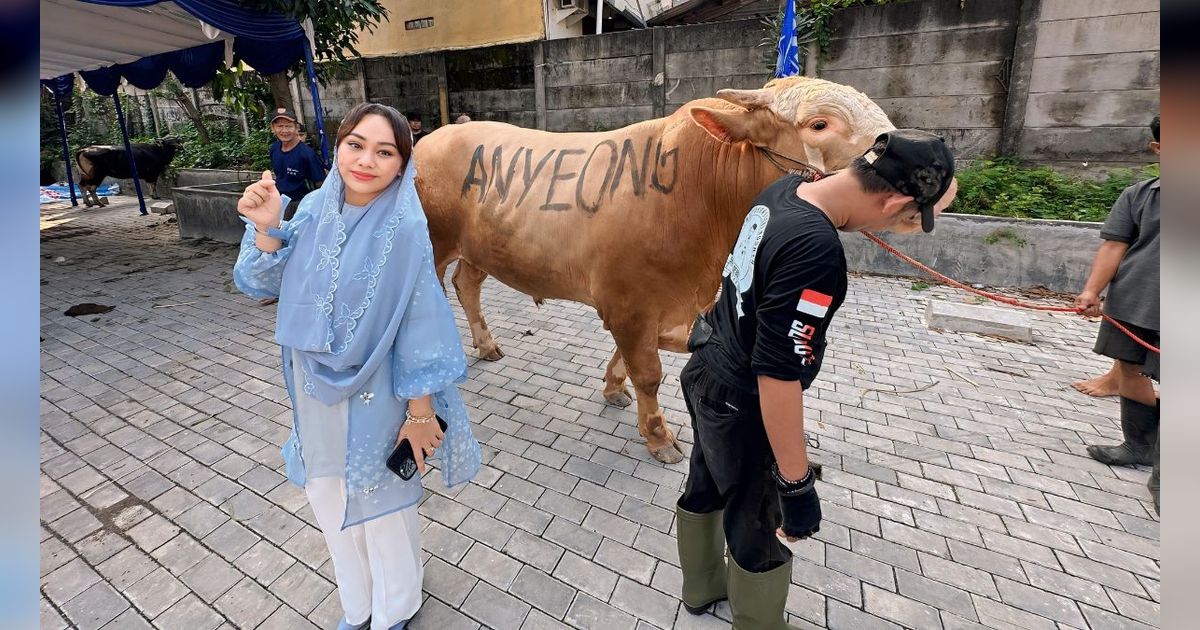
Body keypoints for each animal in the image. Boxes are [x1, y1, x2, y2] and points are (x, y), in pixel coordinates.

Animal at [412, 77, 892, 460]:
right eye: (819, 124)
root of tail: (433, 138)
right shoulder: (630, 304)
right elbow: (648, 373)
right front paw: (659, 437)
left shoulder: (653, 306)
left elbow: (629, 360)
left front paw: (613, 388)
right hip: (434, 243)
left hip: (478, 250)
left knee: (466, 285)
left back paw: (486, 345)